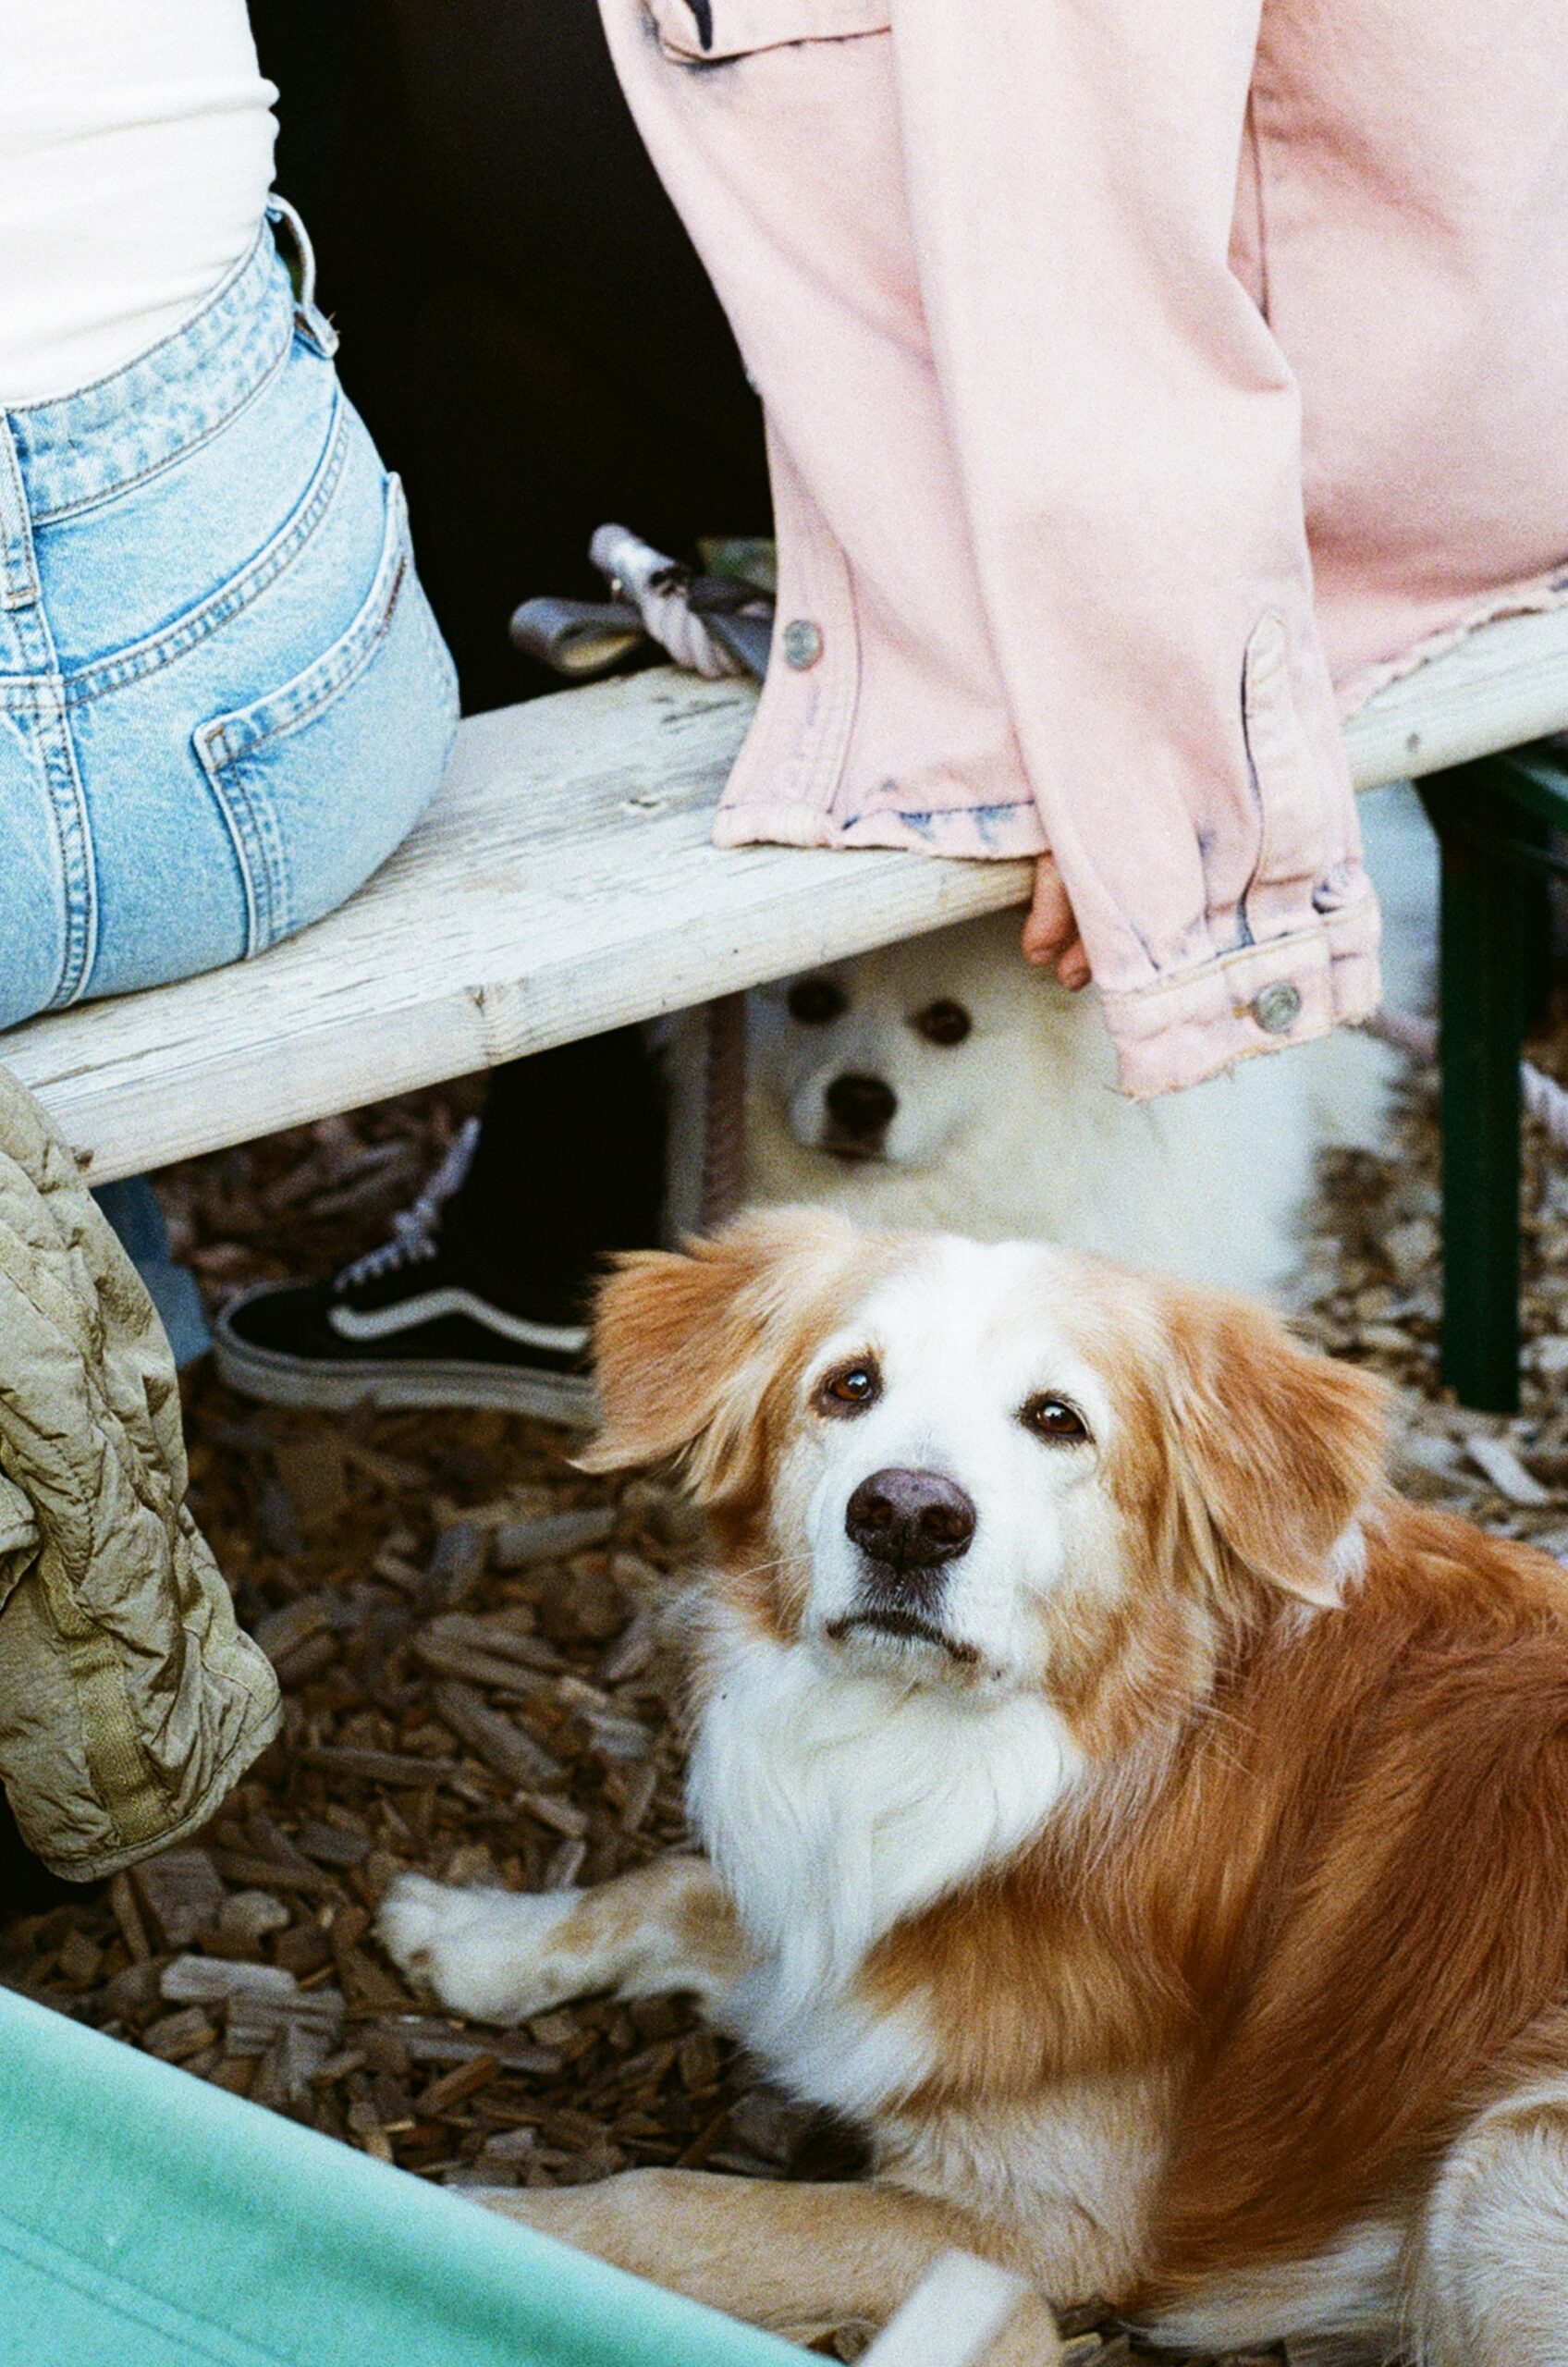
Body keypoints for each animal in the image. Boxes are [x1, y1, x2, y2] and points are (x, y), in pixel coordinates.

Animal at [382, 1210, 1568, 2365]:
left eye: (1056, 1418)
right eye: (849, 1383)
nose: (907, 1514)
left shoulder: (1045, 2225)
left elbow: (668, 2205)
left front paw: (462, 2231)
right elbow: (674, 1886)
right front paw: (477, 1932)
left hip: (1498, 2164)